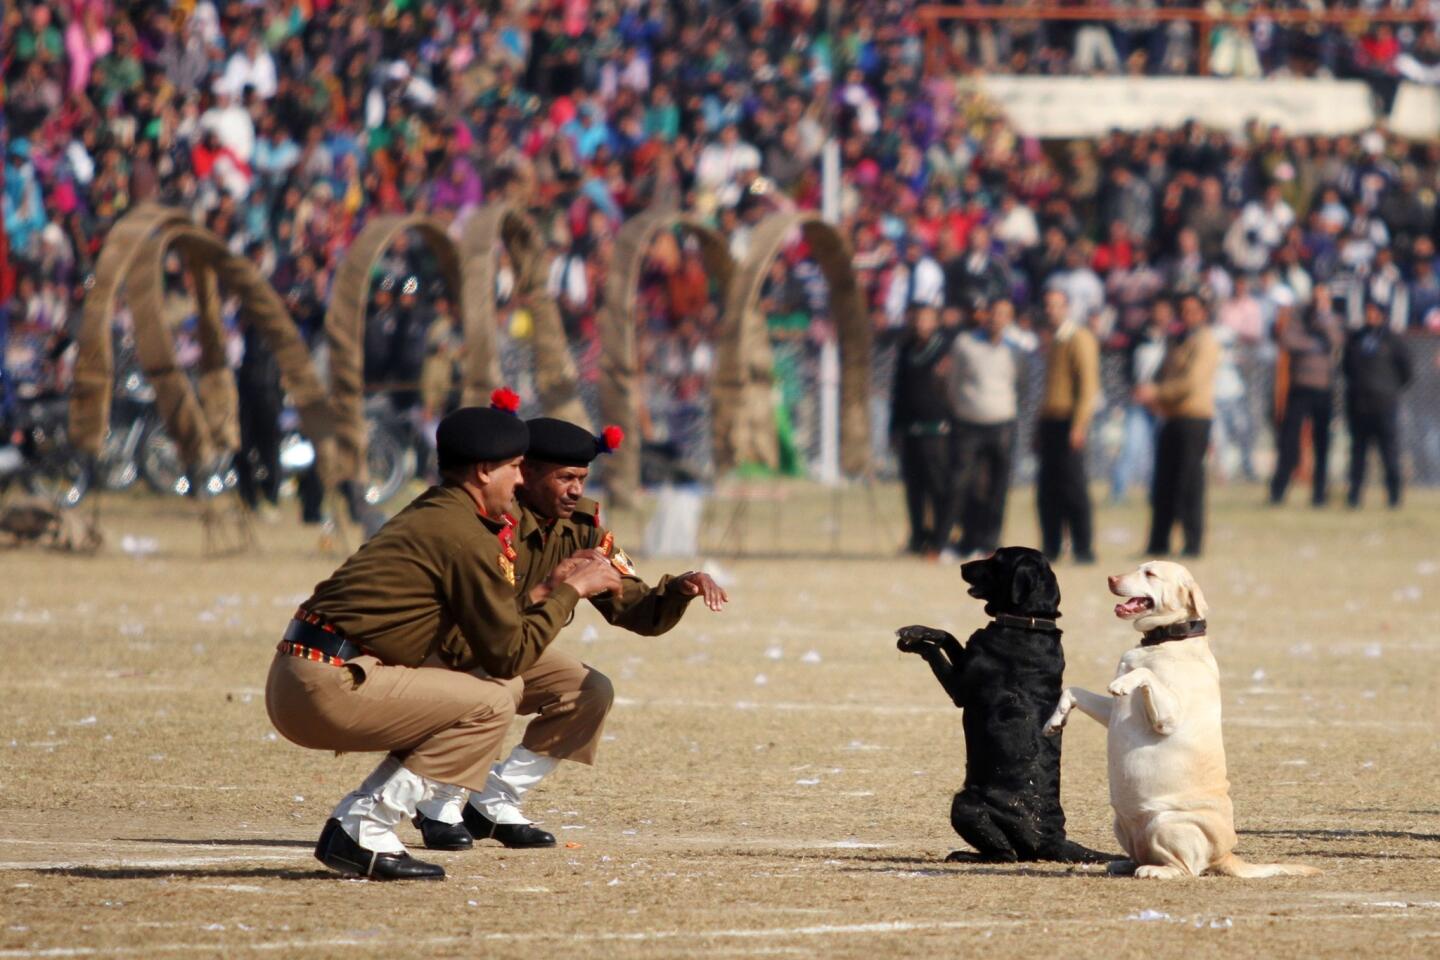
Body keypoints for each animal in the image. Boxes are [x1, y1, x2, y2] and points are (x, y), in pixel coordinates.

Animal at [892, 546, 1105, 863]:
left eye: (997, 559)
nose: (962, 565)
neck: (1027, 622)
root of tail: (1051, 837)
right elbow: (949, 636)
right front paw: (919, 630)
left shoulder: (959, 689)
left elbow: (934, 652)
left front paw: (913, 641)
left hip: (964, 803)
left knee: (1006, 854)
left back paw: (964, 855)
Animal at [1048, 567, 1319, 880]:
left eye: (1150, 572)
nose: (1111, 579)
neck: (1166, 640)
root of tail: (1225, 854)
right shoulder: (1112, 712)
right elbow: (1074, 690)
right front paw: (1055, 720)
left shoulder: (1168, 718)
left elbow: (1144, 674)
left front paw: (1123, 682)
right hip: (1123, 824)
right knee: (1142, 854)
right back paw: (1125, 864)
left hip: (1165, 823)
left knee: (1188, 868)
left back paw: (1154, 871)